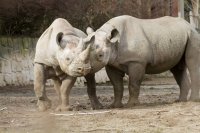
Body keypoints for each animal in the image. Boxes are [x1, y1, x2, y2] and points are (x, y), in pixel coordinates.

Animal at [70, 15, 200, 108]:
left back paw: (192, 101)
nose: (82, 69)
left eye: (100, 55)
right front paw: (115, 106)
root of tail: (189, 25)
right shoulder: (112, 63)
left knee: (192, 64)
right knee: (177, 68)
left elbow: (133, 83)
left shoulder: (137, 62)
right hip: (178, 37)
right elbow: (117, 85)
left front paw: (131, 105)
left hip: (192, 35)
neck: (113, 42)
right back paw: (180, 101)